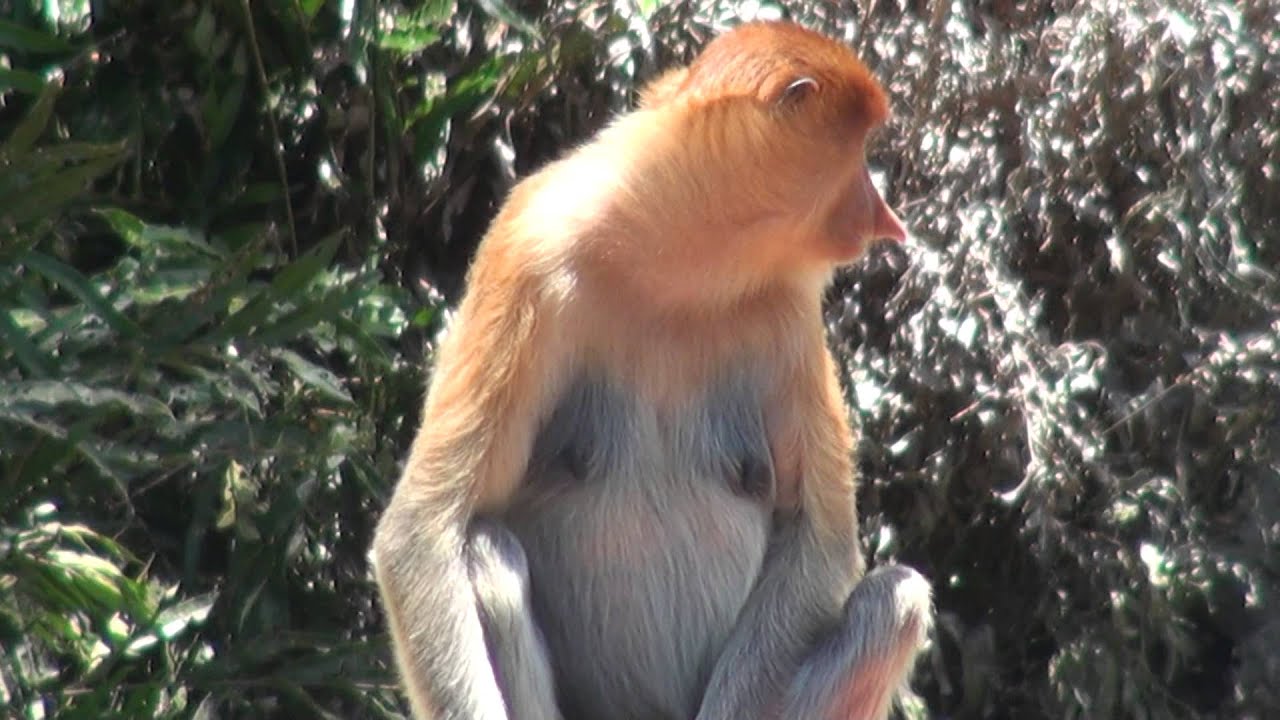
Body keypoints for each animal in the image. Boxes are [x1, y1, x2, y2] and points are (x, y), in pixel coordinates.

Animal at [372, 20, 932, 720]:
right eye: (857, 152)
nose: (885, 216)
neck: (675, 265)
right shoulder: (527, 254)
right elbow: (422, 531)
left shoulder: (789, 315)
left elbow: (818, 544)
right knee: (485, 553)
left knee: (896, 600)